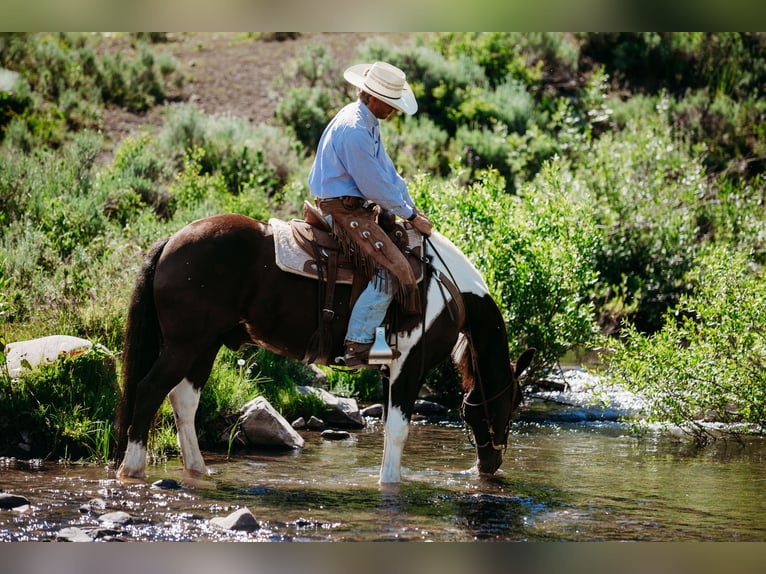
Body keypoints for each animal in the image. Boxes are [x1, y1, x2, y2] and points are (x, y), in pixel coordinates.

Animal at [115, 215, 536, 486]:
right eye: (514, 402)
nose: (492, 464)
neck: (448, 290)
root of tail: (172, 240)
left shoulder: (390, 370)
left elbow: (389, 429)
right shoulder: (409, 366)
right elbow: (399, 430)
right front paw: (390, 484)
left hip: (204, 345)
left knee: (183, 400)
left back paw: (199, 470)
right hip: (185, 344)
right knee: (150, 390)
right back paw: (132, 469)